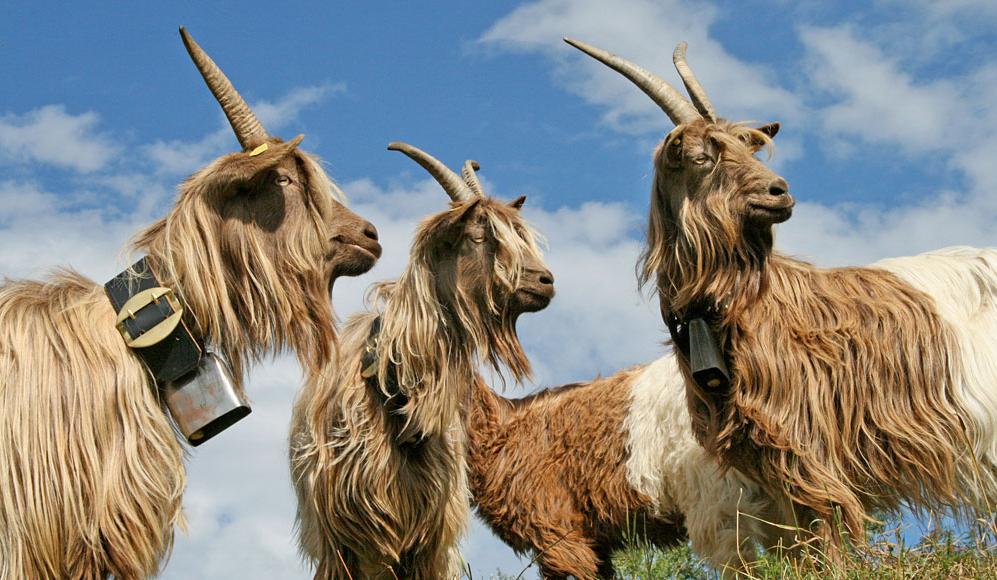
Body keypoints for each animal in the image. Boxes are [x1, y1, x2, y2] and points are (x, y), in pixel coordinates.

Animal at [567, 38, 997, 547]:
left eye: (747, 147)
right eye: (701, 157)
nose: (779, 191)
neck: (738, 307)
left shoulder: (811, 448)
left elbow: (826, 533)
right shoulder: (767, 461)